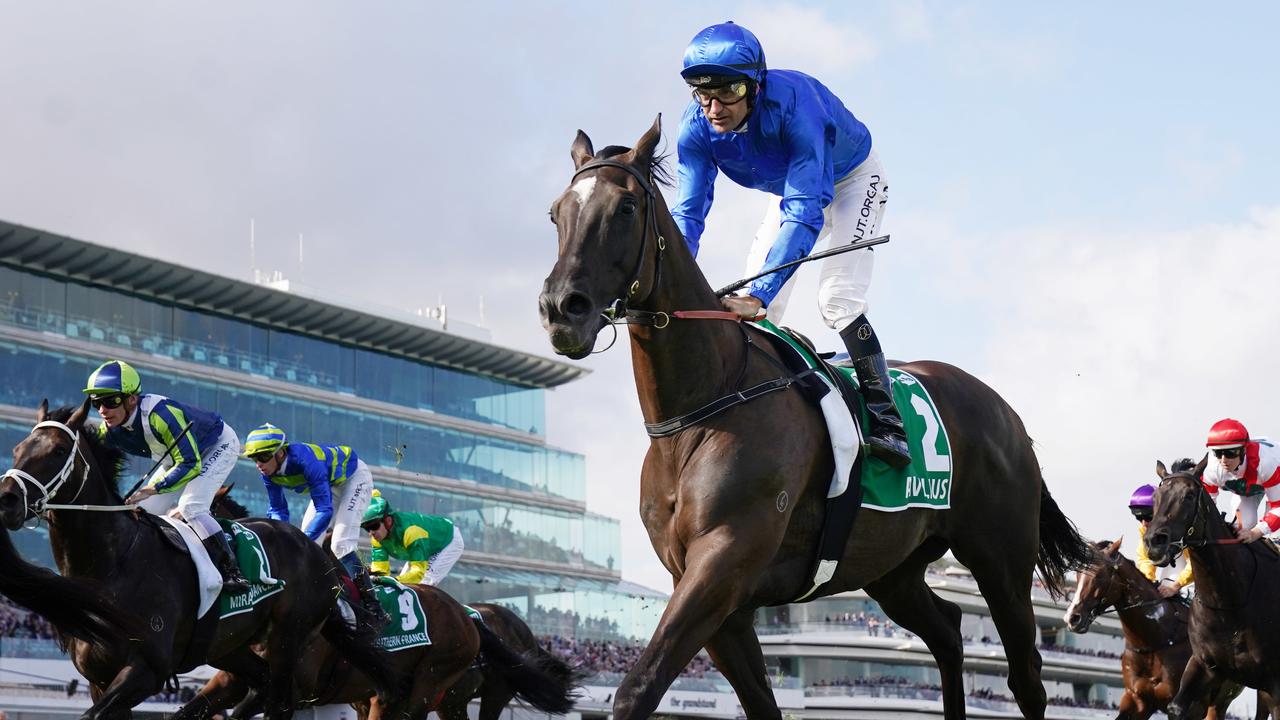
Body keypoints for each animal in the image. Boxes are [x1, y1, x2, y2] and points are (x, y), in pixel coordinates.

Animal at [0, 399, 394, 717]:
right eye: (17, 448)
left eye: (57, 450)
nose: (6, 499)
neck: (114, 565)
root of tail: (318, 558)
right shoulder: (99, 679)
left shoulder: (147, 670)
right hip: (232, 649)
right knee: (260, 686)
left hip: (288, 641)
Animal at [537, 119, 1090, 717]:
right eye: (556, 212)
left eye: (626, 208)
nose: (561, 308)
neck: (701, 409)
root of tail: (1008, 415)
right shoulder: (715, 593)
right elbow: (760, 702)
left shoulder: (723, 562)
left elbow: (639, 686)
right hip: (891, 568)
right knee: (947, 630)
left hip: (1001, 560)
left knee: (1026, 676)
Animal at [1064, 535, 1244, 712]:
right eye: (1078, 576)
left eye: (1099, 575)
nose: (1071, 618)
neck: (1155, 641)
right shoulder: (1136, 699)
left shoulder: (1193, 705)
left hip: (1221, 700)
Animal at [1152, 458, 1280, 717]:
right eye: (1155, 497)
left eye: (1189, 496)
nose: (1154, 543)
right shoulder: (1206, 665)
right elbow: (1177, 708)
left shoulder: (1275, 682)